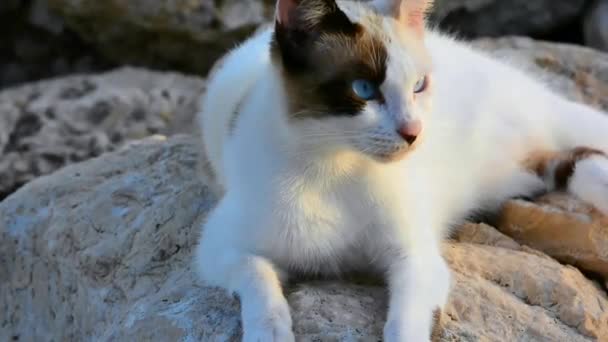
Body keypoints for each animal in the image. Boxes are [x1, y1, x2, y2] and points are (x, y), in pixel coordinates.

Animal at [194, 0, 608, 340]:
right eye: (363, 89)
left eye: (419, 86)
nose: (414, 132)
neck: (333, 168)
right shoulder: (219, 247)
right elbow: (258, 277)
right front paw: (270, 331)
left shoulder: (416, 259)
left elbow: (406, 322)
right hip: (521, 169)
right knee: (571, 162)